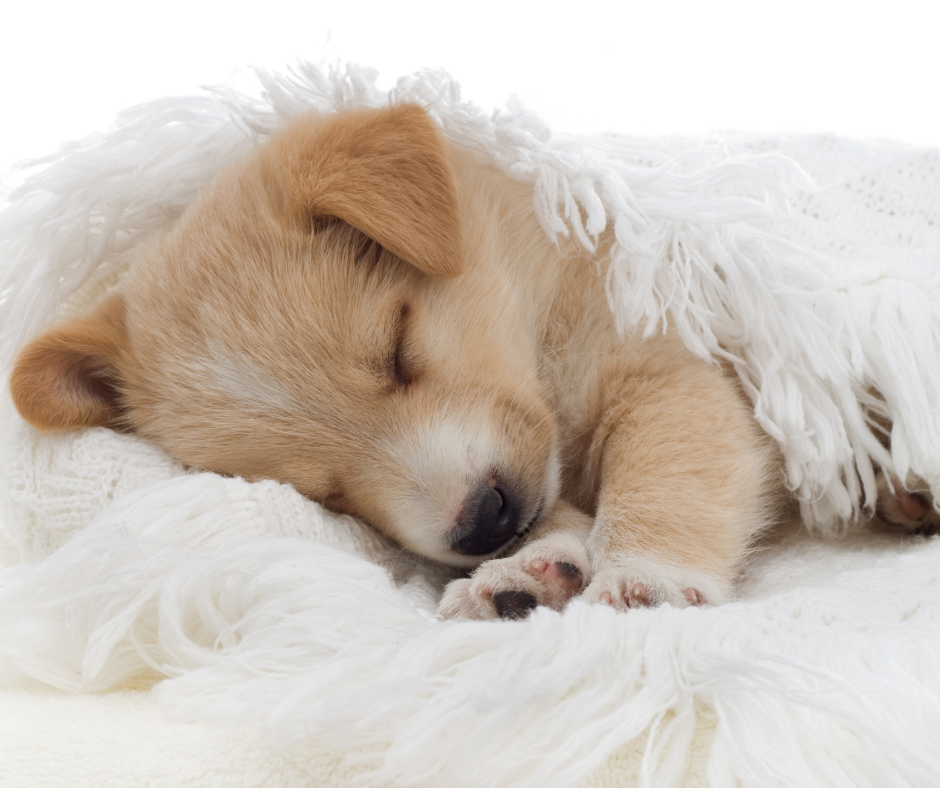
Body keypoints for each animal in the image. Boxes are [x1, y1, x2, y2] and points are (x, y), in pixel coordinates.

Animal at [7, 106, 920, 620]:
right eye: (322, 492)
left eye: (398, 346)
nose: (482, 521)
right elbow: (559, 514)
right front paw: (527, 570)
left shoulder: (679, 370)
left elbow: (668, 472)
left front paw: (644, 577)